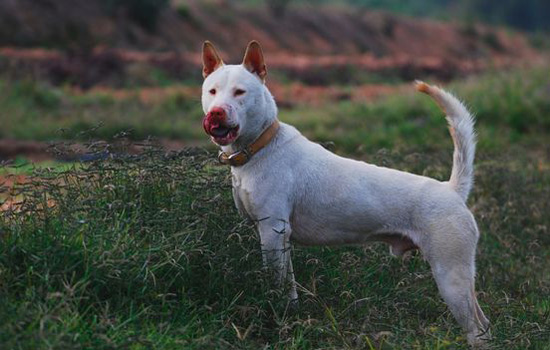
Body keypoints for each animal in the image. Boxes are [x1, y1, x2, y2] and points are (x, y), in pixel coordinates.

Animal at [202, 41, 492, 348]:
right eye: (212, 91)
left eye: (240, 92)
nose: (216, 113)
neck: (259, 146)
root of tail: (453, 190)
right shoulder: (281, 238)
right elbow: (289, 286)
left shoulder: (272, 232)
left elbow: (275, 282)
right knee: (484, 324)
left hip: (451, 275)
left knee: (476, 327)